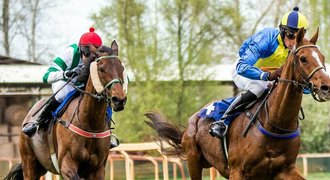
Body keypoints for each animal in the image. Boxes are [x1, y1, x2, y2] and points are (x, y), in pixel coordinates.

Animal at [4, 41, 127, 180]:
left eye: (121, 68)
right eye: (101, 69)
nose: (119, 100)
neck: (90, 123)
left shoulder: (98, 169)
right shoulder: (66, 165)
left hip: (41, 166)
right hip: (29, 164)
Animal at [146, 27, 330, 179]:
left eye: (322, 57)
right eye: (303, 58)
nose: (326, 87)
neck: (274, 123)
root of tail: (193, 119)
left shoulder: (285, 170)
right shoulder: (237, 171)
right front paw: (271, 74)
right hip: (194, 160)